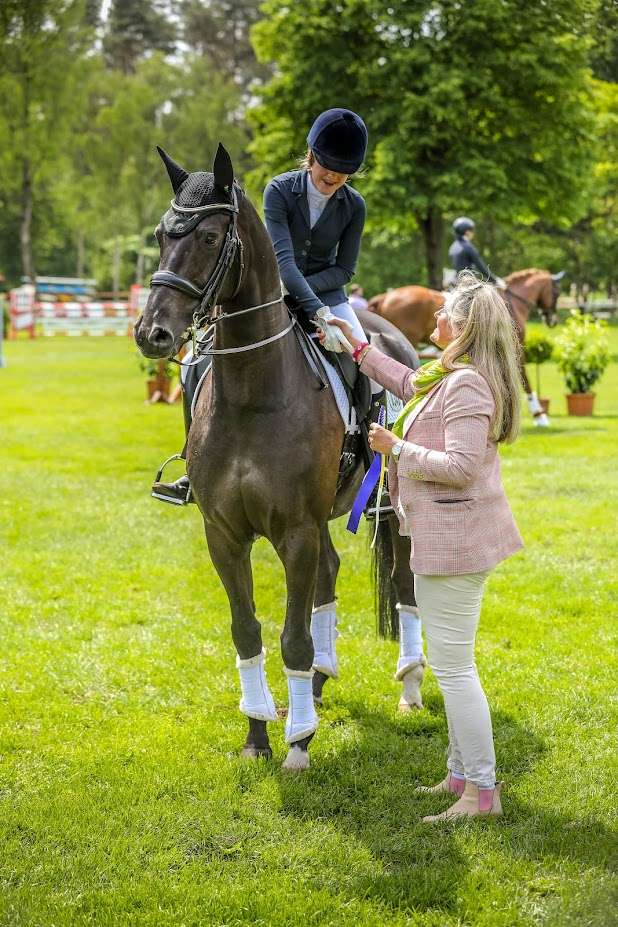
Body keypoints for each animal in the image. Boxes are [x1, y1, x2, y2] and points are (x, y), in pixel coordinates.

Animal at [132, 143, 416, 768]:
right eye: (161, 234)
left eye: (209, 237)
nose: (152, 334)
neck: (252, 392)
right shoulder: (224, 533)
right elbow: (248, 631)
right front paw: (258, 735)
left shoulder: (295, 531)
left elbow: (294, 635)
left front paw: (299, 743)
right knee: (330, 574)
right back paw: (318, 684)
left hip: (390, 509)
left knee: (404, 584)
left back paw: (409, 688)